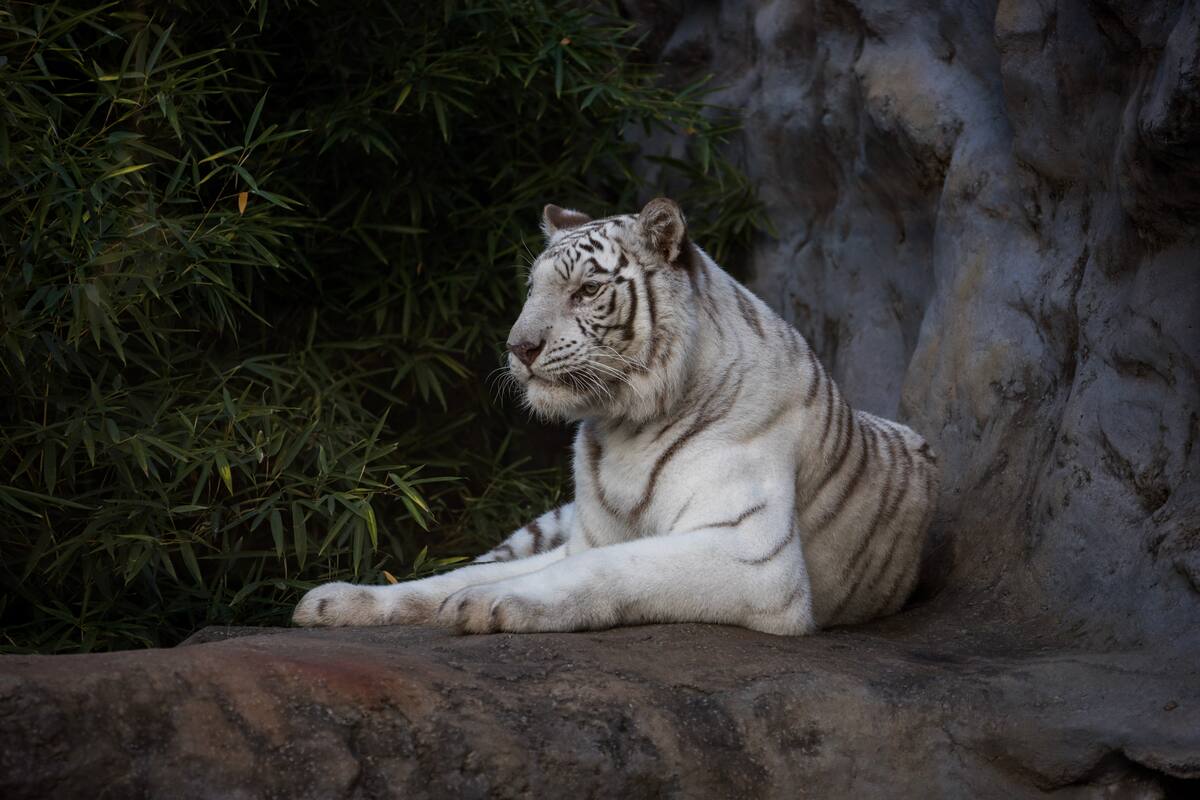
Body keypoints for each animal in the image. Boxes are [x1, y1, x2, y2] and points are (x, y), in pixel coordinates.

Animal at [293, 198, 939, 635]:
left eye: (585, 291)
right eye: (531, 289)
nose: (518, 347)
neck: (623, 425)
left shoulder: (751, 554)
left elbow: (610, 567)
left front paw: (490, 605)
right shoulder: (583, 534)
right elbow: (452, 579)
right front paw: (338, 601)